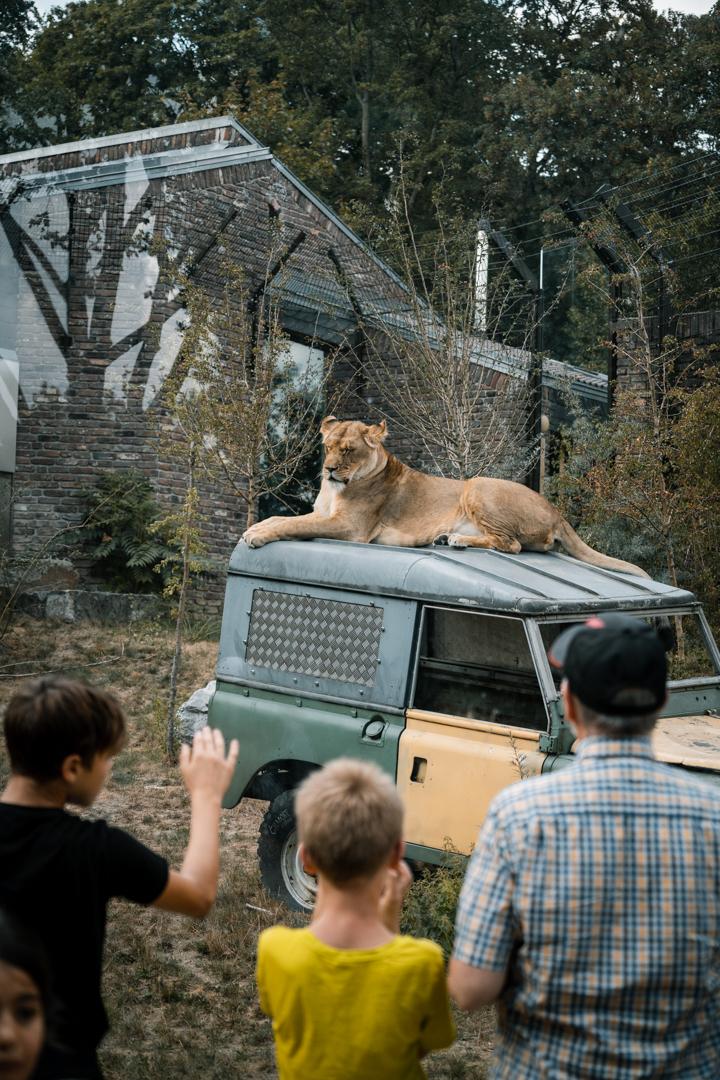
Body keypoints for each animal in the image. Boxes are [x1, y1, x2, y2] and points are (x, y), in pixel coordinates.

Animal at [242, 417, 650, 578]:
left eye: (348, 450)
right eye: (327, 447)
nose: (327, 469)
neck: (336, 489)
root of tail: (556, 510)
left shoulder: (351, 527)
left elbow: (295, 525)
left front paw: (257, 536)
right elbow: (284, 518)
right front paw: (257, 526)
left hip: (477, 485)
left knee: (513, 545)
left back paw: (456, 540)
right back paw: (447, 538)